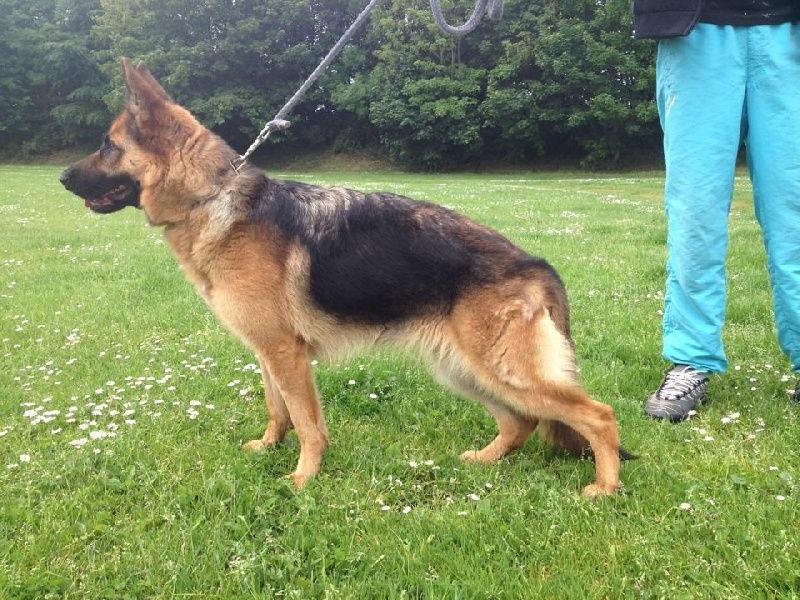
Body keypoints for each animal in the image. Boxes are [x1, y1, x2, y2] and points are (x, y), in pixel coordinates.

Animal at [59, 58, 628, 496]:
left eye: (108, 146)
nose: (61, 177)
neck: (211, 197)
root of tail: (536, 263)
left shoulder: (287, 355)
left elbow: (308, 424)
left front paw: (302, 479)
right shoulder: (268, 352)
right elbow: (278, 410)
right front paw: (268, 448)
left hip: (501, 369)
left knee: (598, 415)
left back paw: (604, 488)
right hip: (463, 369)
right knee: (522, 420)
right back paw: (486, 460)